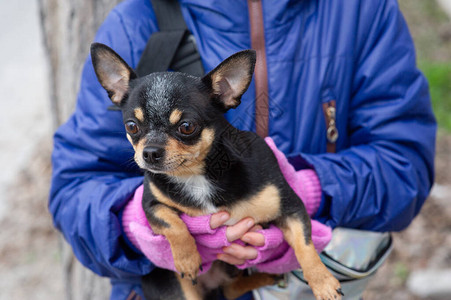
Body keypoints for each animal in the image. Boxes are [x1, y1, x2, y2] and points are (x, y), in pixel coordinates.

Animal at [90, 42, 340, 300]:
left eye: (187, 126)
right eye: (132, 126)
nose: (149, 152)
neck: (196, 175)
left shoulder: (290, 208)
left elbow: (305, 245)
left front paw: (323, 282)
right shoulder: (150, 204)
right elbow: (172, 223)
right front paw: (188, 259)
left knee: (230, 289)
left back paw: (266, 276)